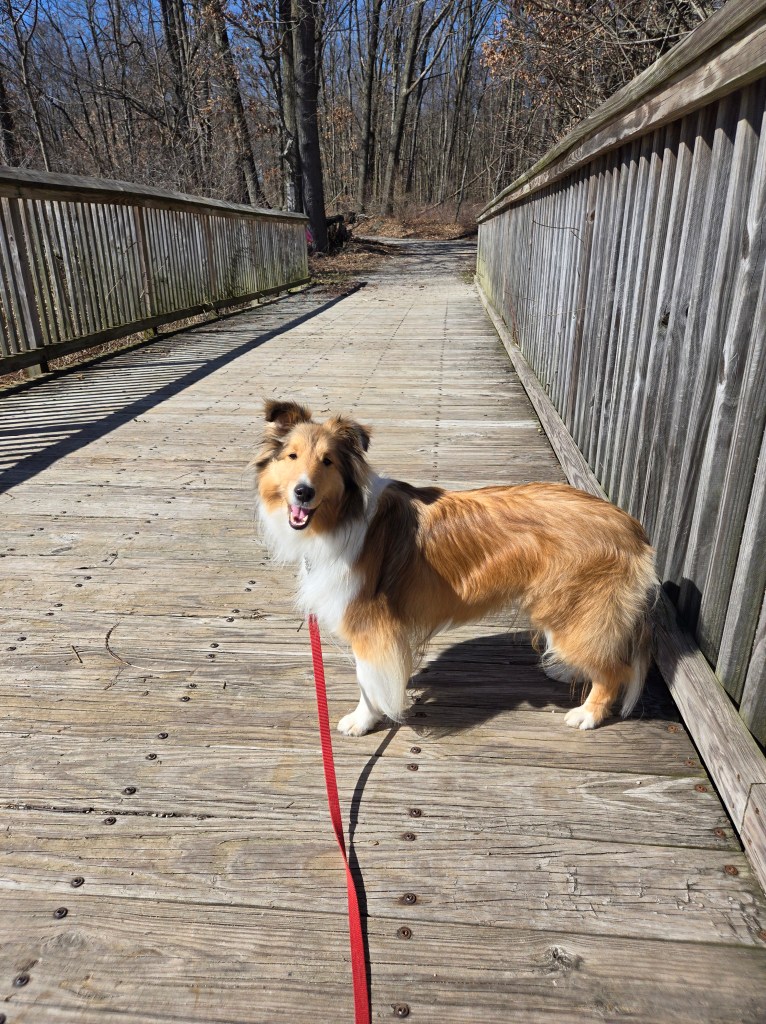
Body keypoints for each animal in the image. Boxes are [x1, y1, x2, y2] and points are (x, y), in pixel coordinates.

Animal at [255, 400, 658, 736]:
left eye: (328, 462)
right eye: (291, 456)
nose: (302, 492)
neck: (342, 517)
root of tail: (631, 527)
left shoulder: (370, 626)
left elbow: (367, 681)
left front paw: (362, 720)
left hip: (573, 606)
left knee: (616, 670)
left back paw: (587, 714)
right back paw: (564, 669)